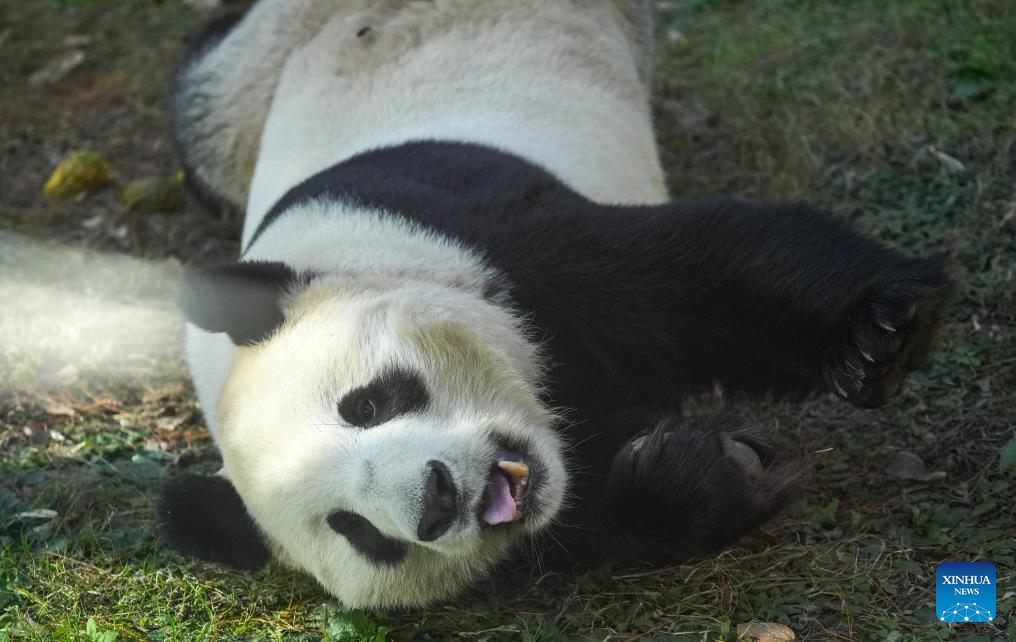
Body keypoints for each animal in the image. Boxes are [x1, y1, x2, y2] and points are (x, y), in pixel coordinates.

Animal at [160, 0, 950, 609]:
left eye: (367, 404)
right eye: (359, 532)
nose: (439, 499)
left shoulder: (483, 235)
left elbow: (707, 271)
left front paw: (881, 334)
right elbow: (595, 519)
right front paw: (701, 466)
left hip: (254, 76)